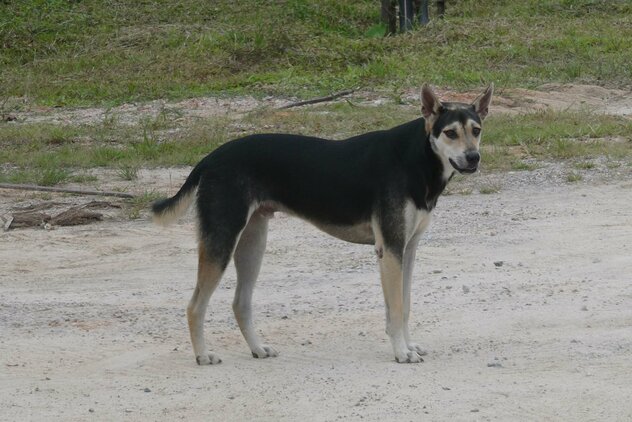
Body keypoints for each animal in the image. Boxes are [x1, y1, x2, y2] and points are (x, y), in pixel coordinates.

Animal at [152, 84, 494, 364]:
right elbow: (396, 309)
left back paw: (258, 348)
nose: (473, 158)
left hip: (252, 243)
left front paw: (408, 345)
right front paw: (401, 352)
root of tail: (210, 158)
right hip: (222, 241)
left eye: (476, 130)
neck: (417, 158)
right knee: (195, 306)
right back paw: (203, 355)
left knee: (240, 303)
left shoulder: (407, 250)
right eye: (450, 133)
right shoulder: (391, 250)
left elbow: (405, 305)